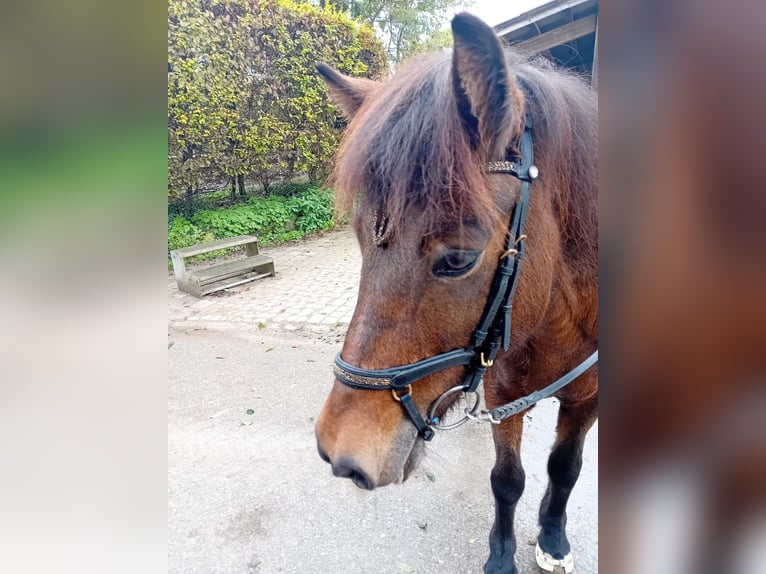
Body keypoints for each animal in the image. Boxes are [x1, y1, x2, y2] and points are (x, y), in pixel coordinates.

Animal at [314, 13, 600, 574]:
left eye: (460, 258)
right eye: (359, 238)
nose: (341, 452)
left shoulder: (589, 398)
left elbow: (566, 467)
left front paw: (553, 538)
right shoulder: (505, 395)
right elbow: (507, 480)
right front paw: (502, 554)